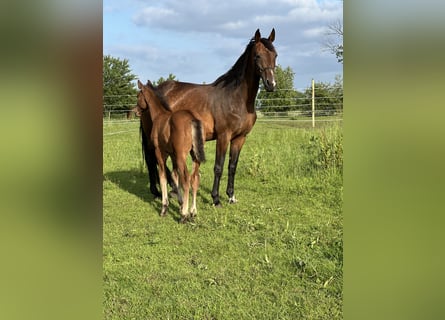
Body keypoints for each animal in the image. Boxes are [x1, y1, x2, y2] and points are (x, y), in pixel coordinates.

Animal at [134, 79, 206, 222]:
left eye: (138, 96)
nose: (135, 111)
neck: (159, 116)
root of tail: (192, 118)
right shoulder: (172, 154)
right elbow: (174, 175)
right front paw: (180, 203)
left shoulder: (160, 152)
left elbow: (163, 176)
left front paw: (164, 208)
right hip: (194, 156)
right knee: (195, 178)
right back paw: (193, 211)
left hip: (181, 156)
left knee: (186, 179)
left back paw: (184, 215)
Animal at [140, 28, 276, 206]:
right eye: (258, 55)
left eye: (275, 55)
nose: (271, 84)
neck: (236, 98)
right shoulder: (224, 136)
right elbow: (218, 167)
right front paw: (216, 198)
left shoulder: (240, 138)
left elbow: (232, 166)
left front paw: (231, 196)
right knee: (153, 159)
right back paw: (164, 191)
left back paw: (169, 189)